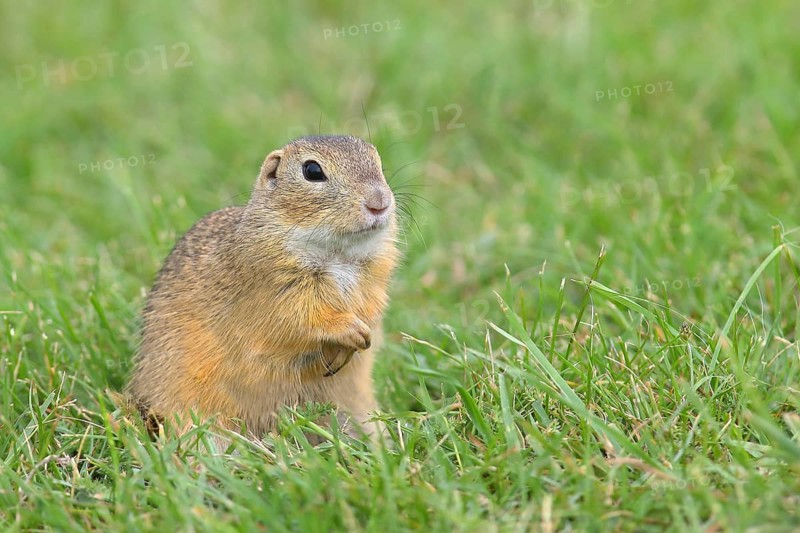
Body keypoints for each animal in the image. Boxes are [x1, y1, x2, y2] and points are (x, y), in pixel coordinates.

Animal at [127, 135, 399, 445]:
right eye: (312, 171)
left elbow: (371, 309)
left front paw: (362, 334)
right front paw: (350, 331)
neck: (339, 254)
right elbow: (300, 319)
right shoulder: (275, 290)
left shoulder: (374, 282)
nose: (379, 203)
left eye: (377, 160)